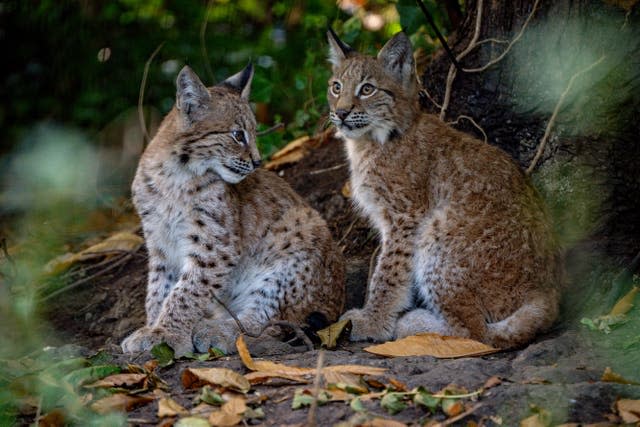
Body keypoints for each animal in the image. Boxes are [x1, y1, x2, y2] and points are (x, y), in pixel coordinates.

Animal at [123, 64, 348, 358]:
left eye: (252, 132)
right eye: (238, 135)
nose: (258, 162)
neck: (173, 175)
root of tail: (338, 303)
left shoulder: (216, 246)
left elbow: (186, 292)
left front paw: (166, 334)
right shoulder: (160, 242)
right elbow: (158, 290)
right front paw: (154, 327)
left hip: (299, 230)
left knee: (271, 322)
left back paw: (218, 331)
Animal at [328, 30, 564, 352]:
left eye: (367, 90)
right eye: (336, 87)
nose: (340, 113)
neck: (370, 142)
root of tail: (547, 290)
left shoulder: (406, 216)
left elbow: (388, 273)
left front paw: (372, 322)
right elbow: (381, 266)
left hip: (438, 230)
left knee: (477, 333)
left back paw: (412, 325)